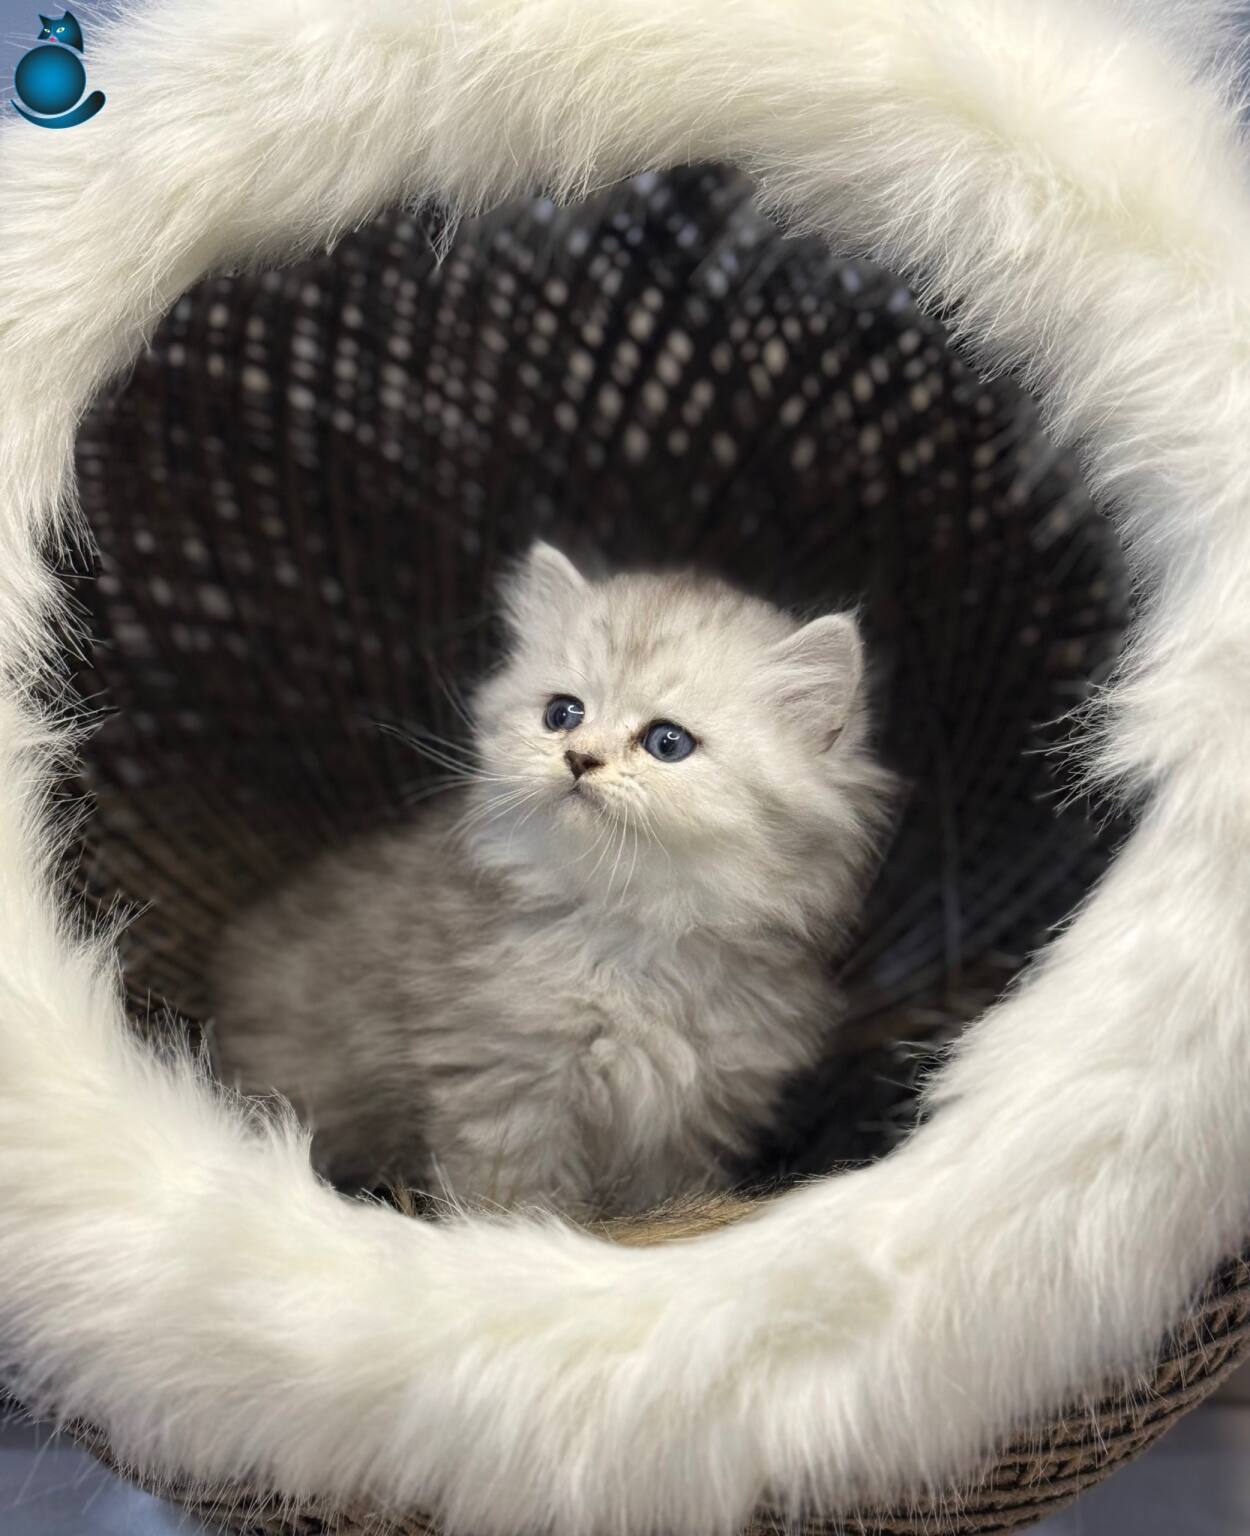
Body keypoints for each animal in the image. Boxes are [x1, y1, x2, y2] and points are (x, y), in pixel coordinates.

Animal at [209, 543, 895, 1216]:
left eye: (667, 742)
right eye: (563, 713)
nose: (579, 758)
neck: (631, 936)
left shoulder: (688, 1119)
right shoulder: (505, 1094)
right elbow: (514, 1204)